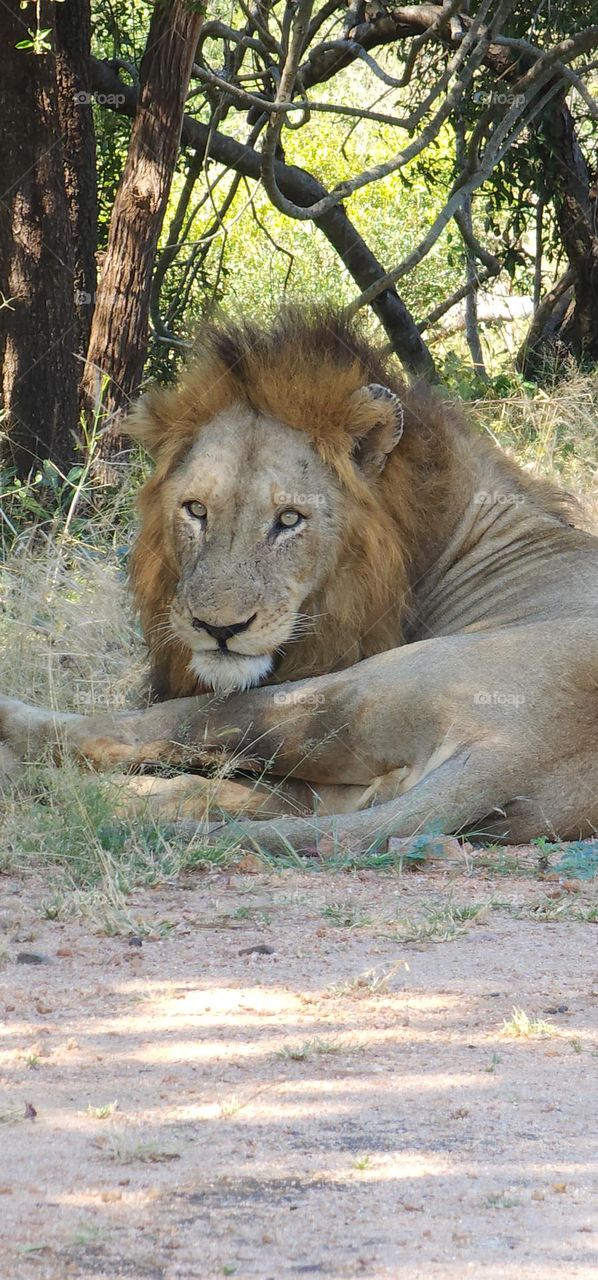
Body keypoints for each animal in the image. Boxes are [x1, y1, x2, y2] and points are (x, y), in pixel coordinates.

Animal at [1, 307, 598, 850]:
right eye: (195, 510)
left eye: (289, 519)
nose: (218, 629)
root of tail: (511, 755)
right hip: (340, 785)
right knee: (207, 791)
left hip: (339, 693)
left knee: (143, 730)